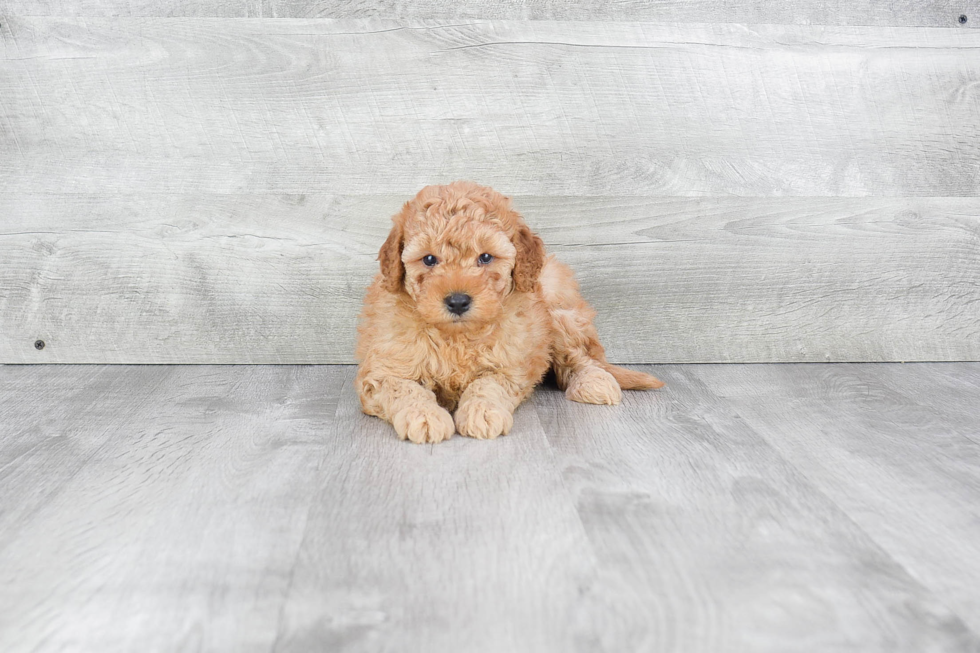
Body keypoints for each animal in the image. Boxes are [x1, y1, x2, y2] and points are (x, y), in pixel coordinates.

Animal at [354, 181, 668, 440]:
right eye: (429, 259)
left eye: (485, 257)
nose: (458, 301)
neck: (456, 336)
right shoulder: (383, 369)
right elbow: (404, 389)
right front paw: (424, 416)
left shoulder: (510, 364)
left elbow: (488, 385)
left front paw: (482, 412)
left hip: (558, 312)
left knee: (582, 358)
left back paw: (595, 383)